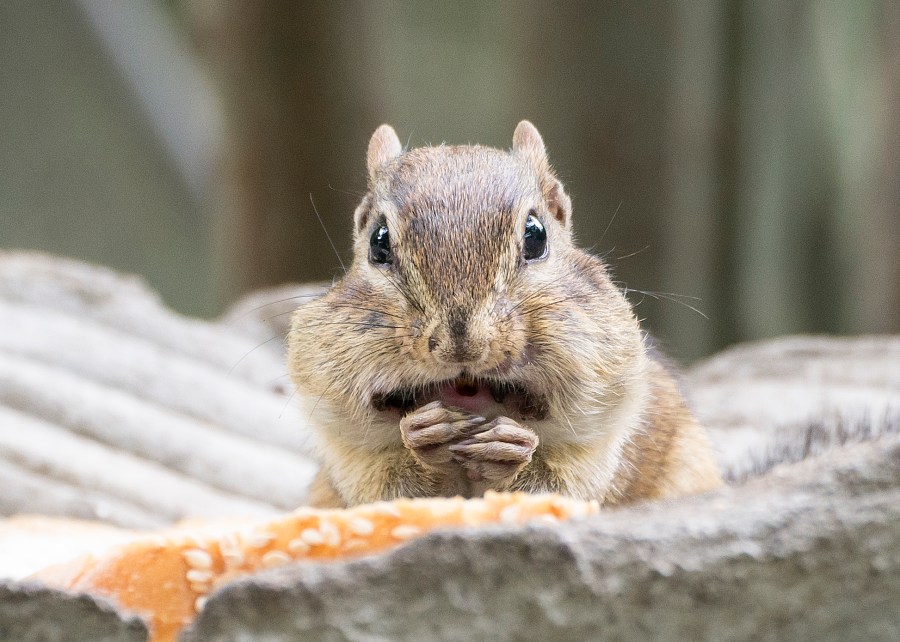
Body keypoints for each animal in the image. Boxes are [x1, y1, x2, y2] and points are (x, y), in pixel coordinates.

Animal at [288, 121, 722, 508]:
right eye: (378, 243)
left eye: (536, 235)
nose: (462, 346)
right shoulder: (351, 462)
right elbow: (385, 487)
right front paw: (423, 435)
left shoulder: (601, 448)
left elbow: (559, 484)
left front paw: (510, 448)